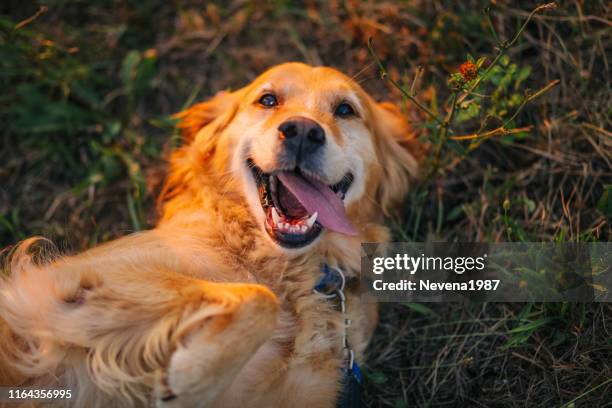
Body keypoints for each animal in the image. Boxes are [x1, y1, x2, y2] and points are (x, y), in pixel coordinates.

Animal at [0, 62, 420, 406]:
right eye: (267, 100)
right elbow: (259, 298)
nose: (302, 131)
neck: (291, 270)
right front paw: (192, 376)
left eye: (345, 110)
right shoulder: (72, 280)